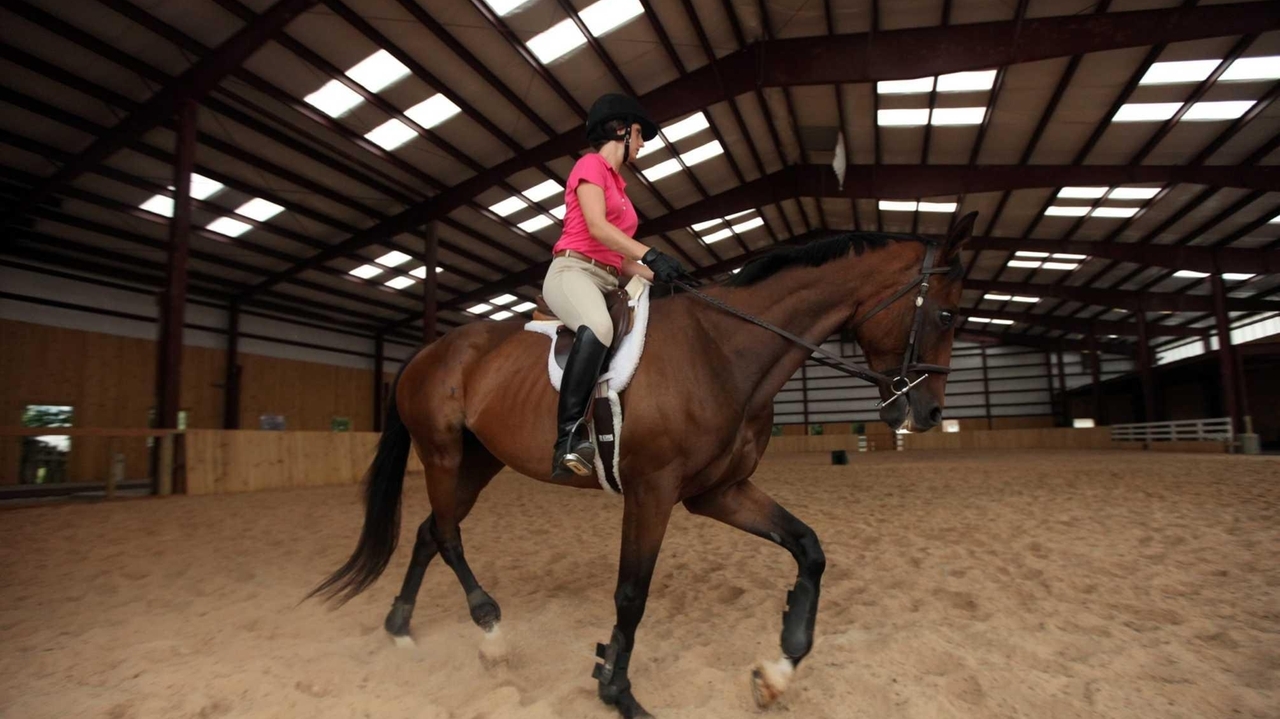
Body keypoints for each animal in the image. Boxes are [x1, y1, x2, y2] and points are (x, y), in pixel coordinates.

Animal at [308, 212, 975, 717]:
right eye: (946, 315)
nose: (929, 412)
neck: (722, 348)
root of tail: (431, 349)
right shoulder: (652, 491)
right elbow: (632, 593)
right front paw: (617, 690)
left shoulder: (720, 490)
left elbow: (809, 548)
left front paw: (777, 670)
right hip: (443, 454)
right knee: (446, 534)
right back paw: (491, 631)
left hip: (478, 463)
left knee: (429, 532)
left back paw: (400, 626)